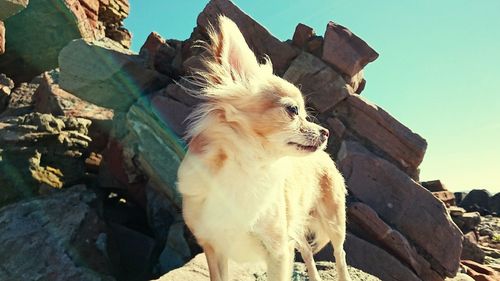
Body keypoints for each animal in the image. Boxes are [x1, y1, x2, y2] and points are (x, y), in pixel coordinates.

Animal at [177, 15, 352, 280]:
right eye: (293, 110)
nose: (326, 132)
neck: (247, 170)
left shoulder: (278, 251)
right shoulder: (214, 248)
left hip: (333, 221)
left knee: (339, 254)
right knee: (307, 250)